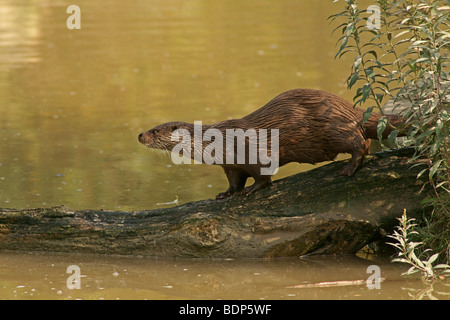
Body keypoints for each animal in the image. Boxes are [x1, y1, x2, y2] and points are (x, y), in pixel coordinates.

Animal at [139, 89, 402, 199]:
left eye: (155, 130)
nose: (140, 134)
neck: (219, 142)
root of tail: (348, 106)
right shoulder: (231, 165)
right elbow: (234, 181)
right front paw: (225, 193)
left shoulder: (252, 151)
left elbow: (263, 177)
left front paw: (251, 190)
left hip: (337, 128)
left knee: (362, 143)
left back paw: (348, 169)